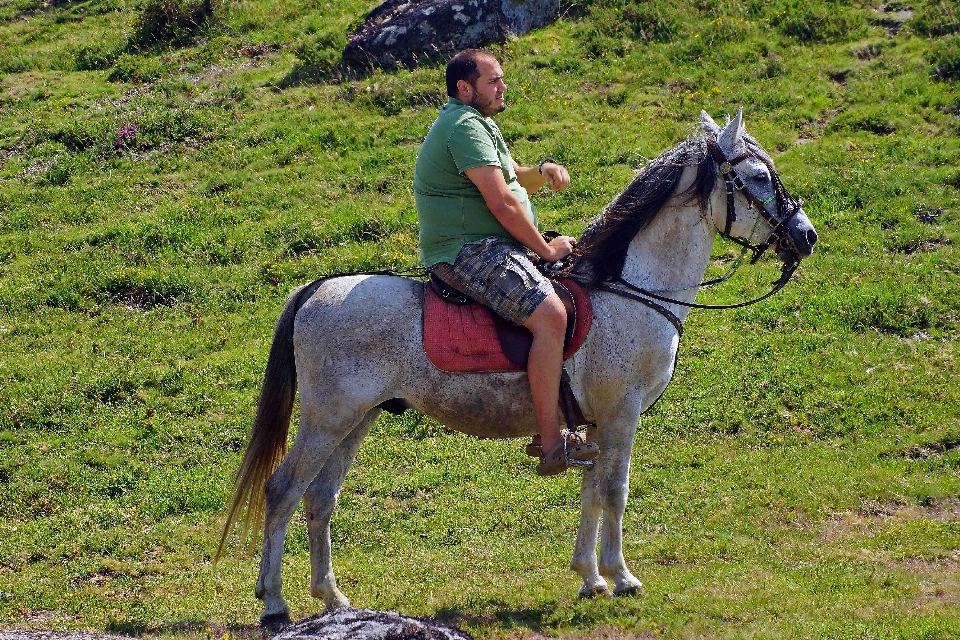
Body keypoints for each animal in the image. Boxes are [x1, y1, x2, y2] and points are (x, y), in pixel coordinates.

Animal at [218, 111, 816, 624]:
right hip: (327, 418)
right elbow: (615, 490)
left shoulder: (594, 423)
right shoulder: (620, 414)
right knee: (283, 490)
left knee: (320, 499)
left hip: (356, 419)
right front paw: (621, 577)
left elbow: (591, 489)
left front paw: (589, 578)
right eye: (758, 176)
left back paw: (333, 598)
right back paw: (274, 603)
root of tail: (316, 289)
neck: (632, 290)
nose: (805, 235)